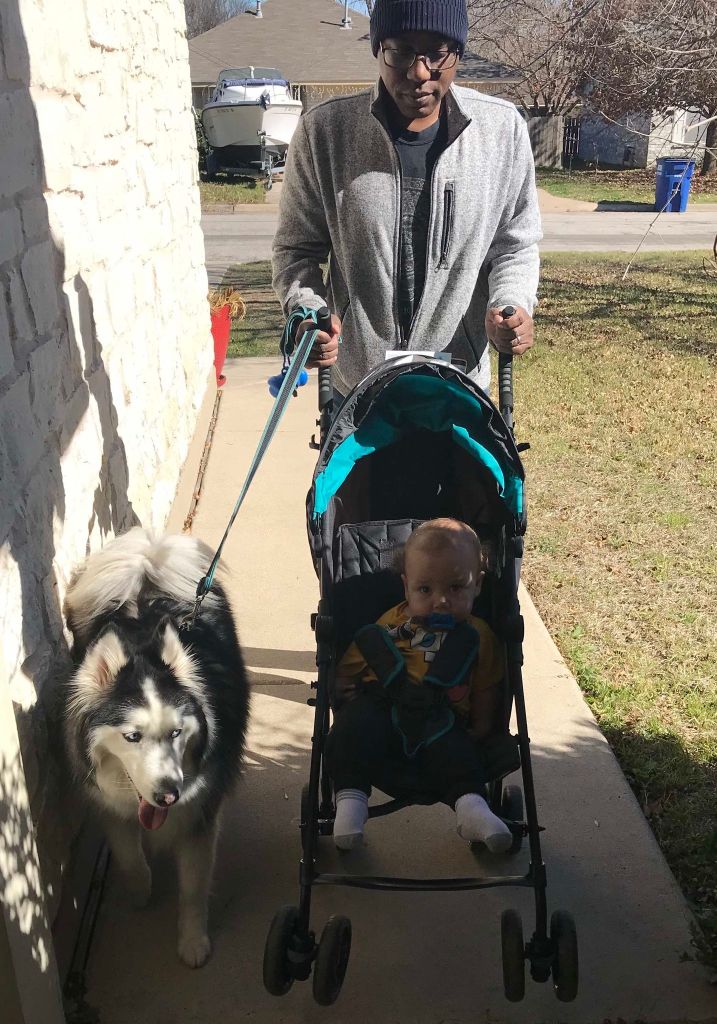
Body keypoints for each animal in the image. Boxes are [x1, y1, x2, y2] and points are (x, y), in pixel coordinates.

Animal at [63, 528, 249, 967]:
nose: (168, 795)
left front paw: (193, 941)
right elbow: (128, 855)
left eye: (177, 733)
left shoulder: (201, 813)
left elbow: (194, 888)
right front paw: (140, 892)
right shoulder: (108, 802)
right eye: (133, 737)